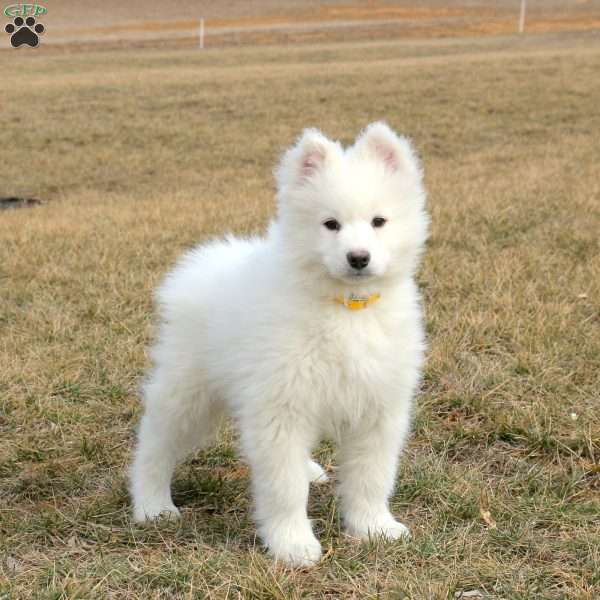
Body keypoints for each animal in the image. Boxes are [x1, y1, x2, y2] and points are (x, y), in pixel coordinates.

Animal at [129, 122, 428, 568]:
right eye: (330, 224)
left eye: (379, 221)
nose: (358, 257)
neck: (348, 308)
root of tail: (205, 262)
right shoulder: (280, 406)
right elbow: (284, 487)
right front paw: (293, 544)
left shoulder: (377, 407)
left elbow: (371, 476)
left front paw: (374, 527)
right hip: (188, 391)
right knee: (155, 444)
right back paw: (152, 505)